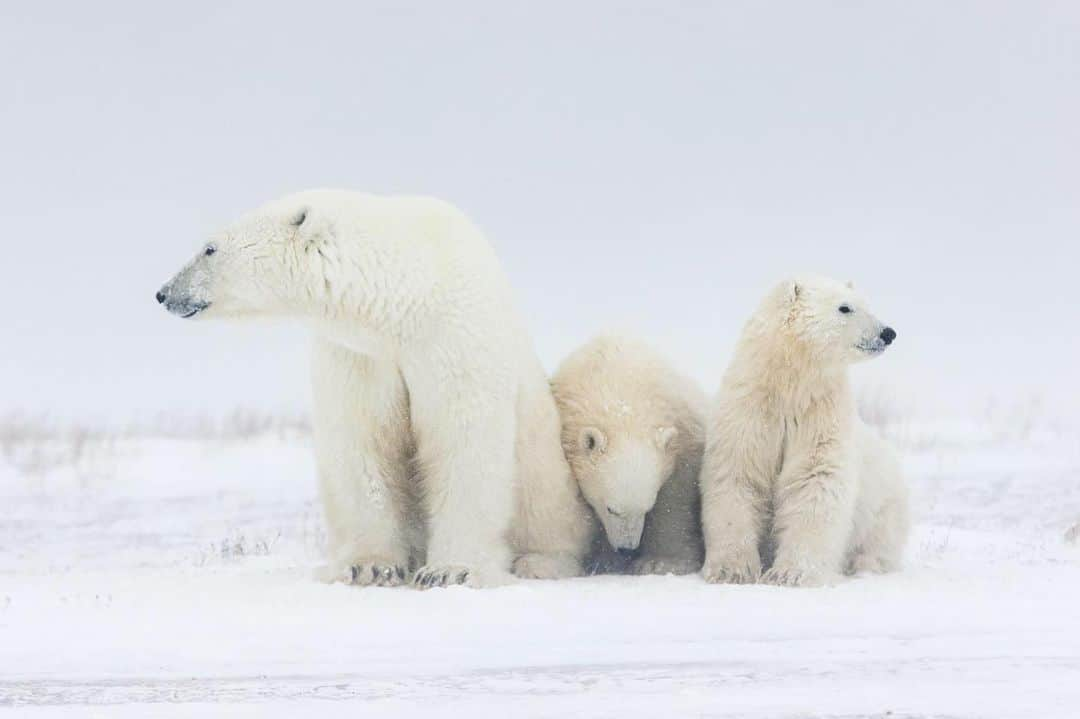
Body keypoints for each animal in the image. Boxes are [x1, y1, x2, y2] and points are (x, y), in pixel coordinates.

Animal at [156, 187, 591, 587]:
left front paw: (449, 569)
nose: (163, 293)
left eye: (209, 249)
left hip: (547, 475)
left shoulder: (453, 339)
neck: (406, 298)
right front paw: (370, 566)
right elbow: (363, 444)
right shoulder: (359, 356)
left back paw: (538, 562)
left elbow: (462, 441)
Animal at [548, 332, 708, 574]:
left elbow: (674, 501)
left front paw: (661, 562)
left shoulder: (683, 438)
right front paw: (605, 561)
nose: (627, 549)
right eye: (610, 508)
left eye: (647, 508)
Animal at [699, 276, 911, 587]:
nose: (888, 333)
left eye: (866, 303)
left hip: (885, 504)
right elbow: (738, 475)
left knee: (878, 542)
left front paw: (791, 574)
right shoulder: (750, 411)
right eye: (845, 307)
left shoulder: (820, 415)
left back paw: (863, 566)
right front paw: (731, 570)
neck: (790, 386)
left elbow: (815, 479)